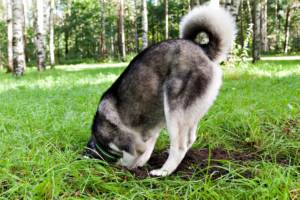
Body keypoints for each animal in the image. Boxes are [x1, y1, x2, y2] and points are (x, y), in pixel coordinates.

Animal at [85, 3, 236, 177]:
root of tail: (202, 49)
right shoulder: (150, 132)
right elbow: (147, 148)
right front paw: (139, 165)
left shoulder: (128, 143)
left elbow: (132, 155)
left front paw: (126, 167)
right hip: (188, 113)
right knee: (190, 138)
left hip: (174, 109)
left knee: (180, 146)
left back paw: (163, 171)